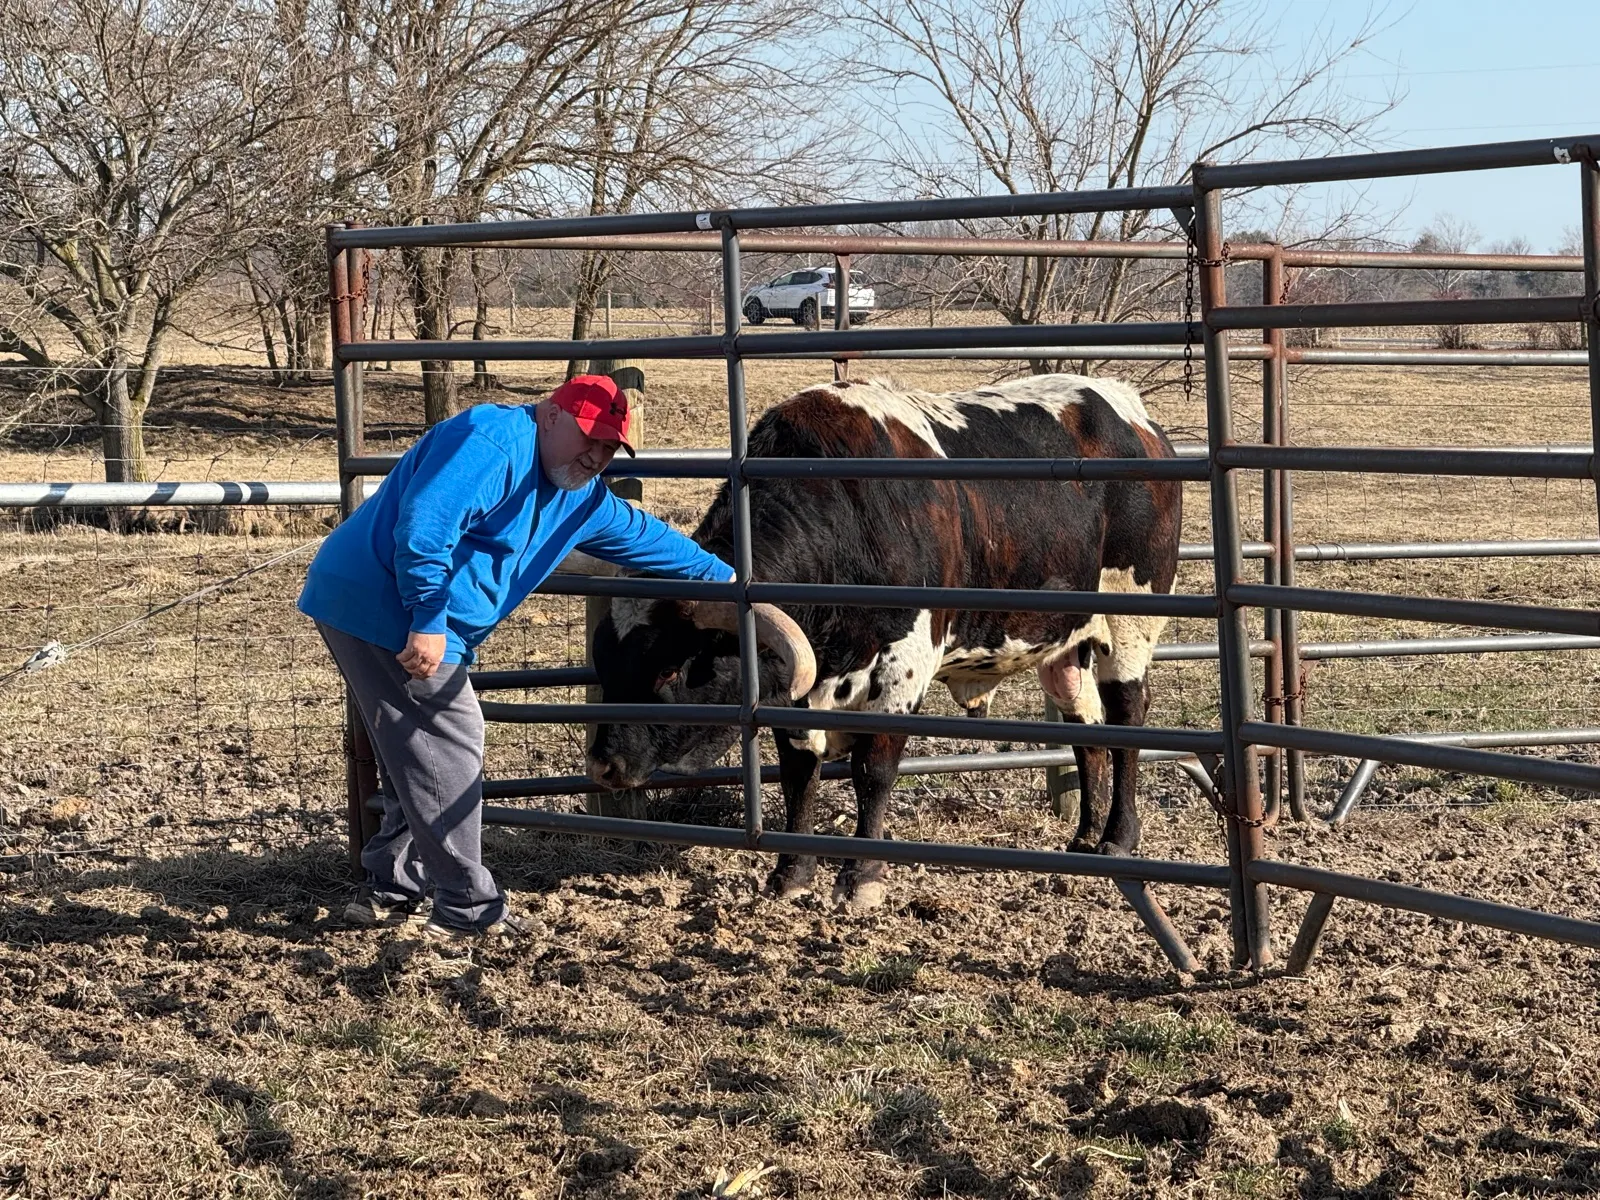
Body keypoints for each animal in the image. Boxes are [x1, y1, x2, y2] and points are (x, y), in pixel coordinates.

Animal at [586, 374, 1182, 912]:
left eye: (671, 670)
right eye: (606, 664)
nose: (603, 766)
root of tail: (1138, 417)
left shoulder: (901, 673)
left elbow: (872, 772)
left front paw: (861, 879)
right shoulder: (795, 691)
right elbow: (799, 773)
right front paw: (790, 873)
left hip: (1128, 626)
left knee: (1127, 720)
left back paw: (1117, 838)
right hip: (1065, 649)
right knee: (1088, 732)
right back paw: (1083, 839)